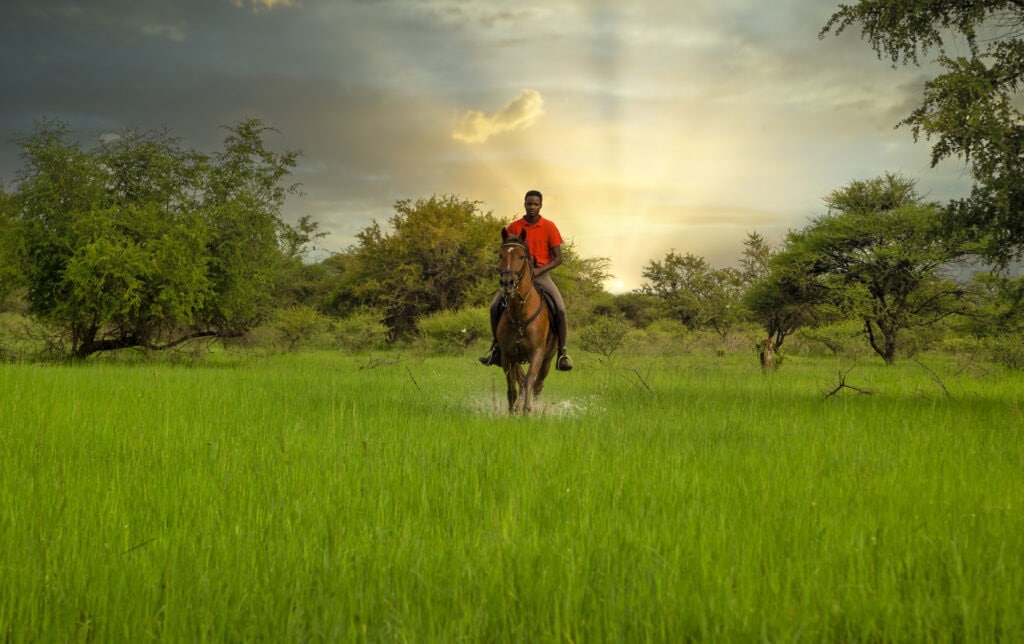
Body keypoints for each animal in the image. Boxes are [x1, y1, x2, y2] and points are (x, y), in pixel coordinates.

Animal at [495, 227, 558, 414]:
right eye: (500, 255)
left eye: (521, 256)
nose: (507, 282)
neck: (519, 315)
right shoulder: (508, 356)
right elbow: (512, 387)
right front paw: (512, 412)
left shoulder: (537, 353)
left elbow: (529, 380)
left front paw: (527, 411)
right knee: (520, 380)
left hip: (548, 358)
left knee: (537, 384)